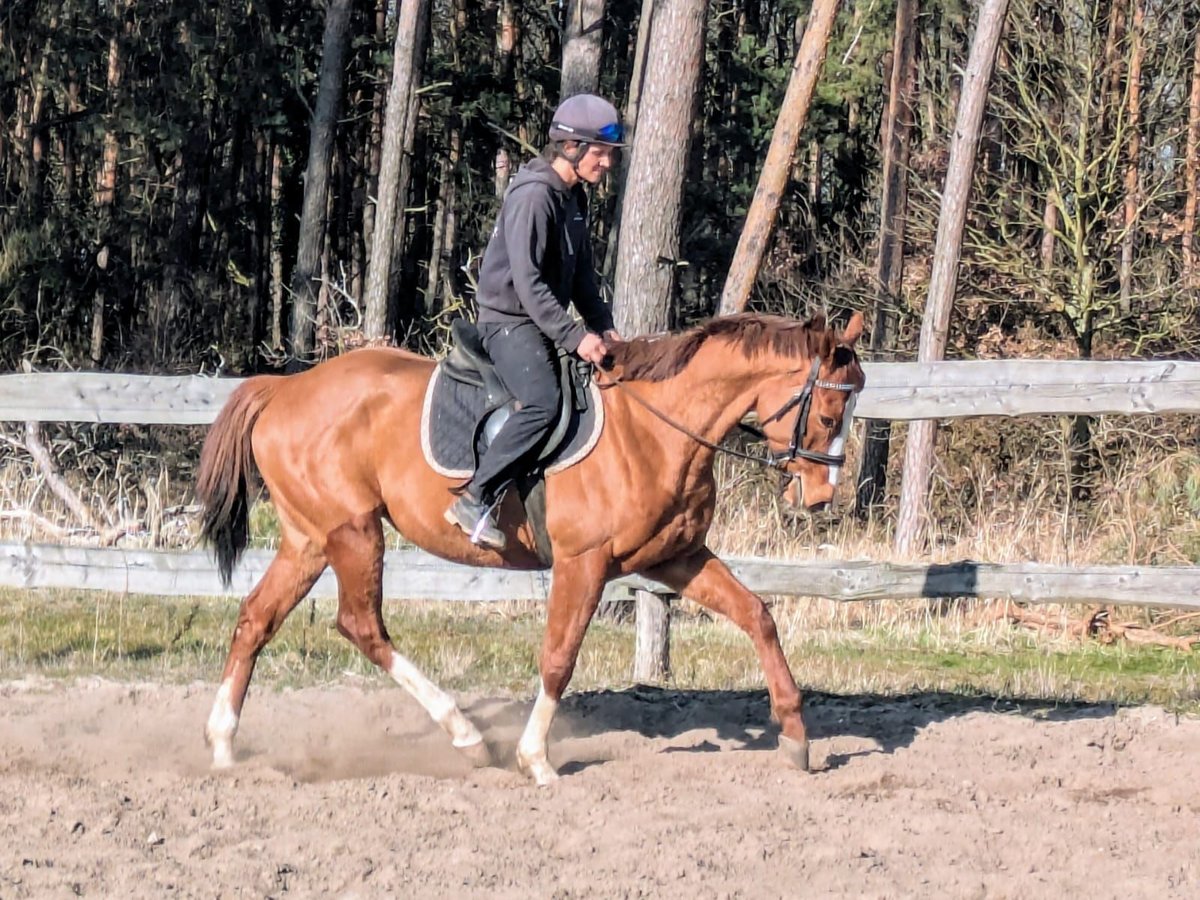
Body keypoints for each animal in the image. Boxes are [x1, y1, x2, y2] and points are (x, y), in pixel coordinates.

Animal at [201, 309, 868, 782]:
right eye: (828, 412)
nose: (820, 498)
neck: (654, 428)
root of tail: (284, 389)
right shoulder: (584, 563)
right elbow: (559, 656)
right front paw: (535, 760)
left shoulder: (675, 558)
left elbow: (758, 615)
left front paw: (795, 737)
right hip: (353, 532)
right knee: (361, 624)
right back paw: (466, 735)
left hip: (309, 539)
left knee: (256, 618)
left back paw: (224, 746)